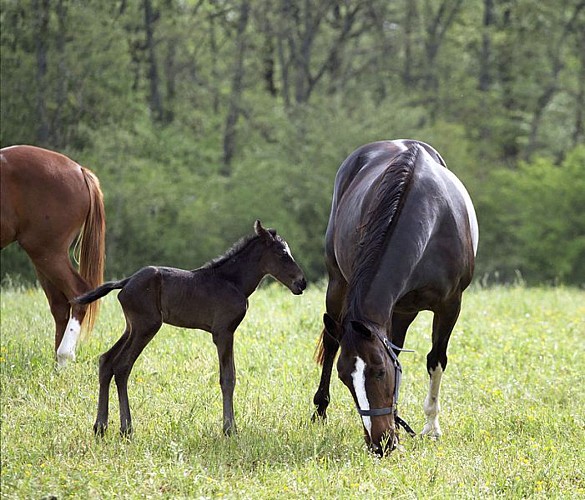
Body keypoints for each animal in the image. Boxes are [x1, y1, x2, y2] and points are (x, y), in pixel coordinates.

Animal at [0, 145, 105, 368]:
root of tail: (79, 170)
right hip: (44, 258)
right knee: (60, 306)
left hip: (48, 253)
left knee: (78, 293)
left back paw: (64, 356)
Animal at [312, 141, 476, 458]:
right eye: (344, 378)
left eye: (379, 372)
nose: (381, 444)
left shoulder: (450, 305)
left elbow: (435, 360)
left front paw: (431, 428)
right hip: (339, 284)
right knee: (332, 341)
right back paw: (320, 410)